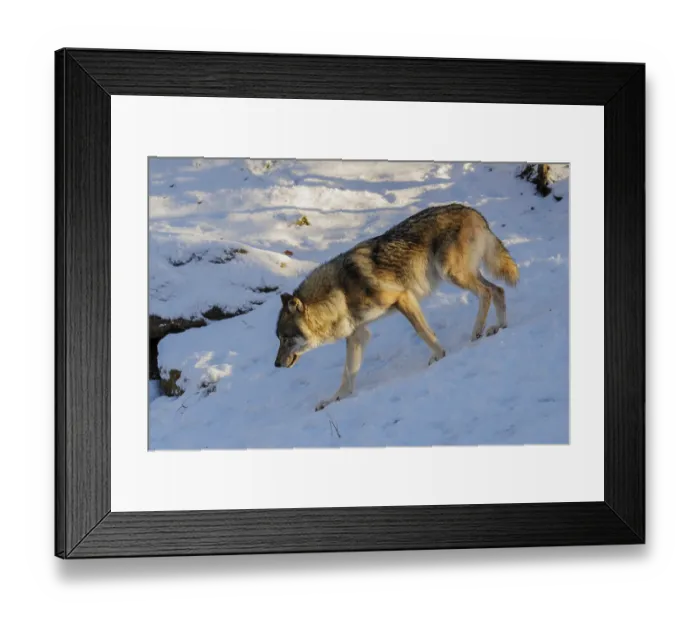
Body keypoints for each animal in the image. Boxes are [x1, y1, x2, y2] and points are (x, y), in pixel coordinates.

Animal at [274, 203, 519, 411]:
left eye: (285, 339)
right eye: (279, 339)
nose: (275, 364)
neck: (339, 294)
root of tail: (474, 211)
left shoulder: (403, 297)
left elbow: (424, 332)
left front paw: (440, 355)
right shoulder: (358, 335)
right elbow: (347, 374)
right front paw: (333, 400)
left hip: (451, 273)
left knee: (487, 292)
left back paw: (477, 331)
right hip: (464, 274)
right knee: (498, 290)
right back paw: (498, 327)